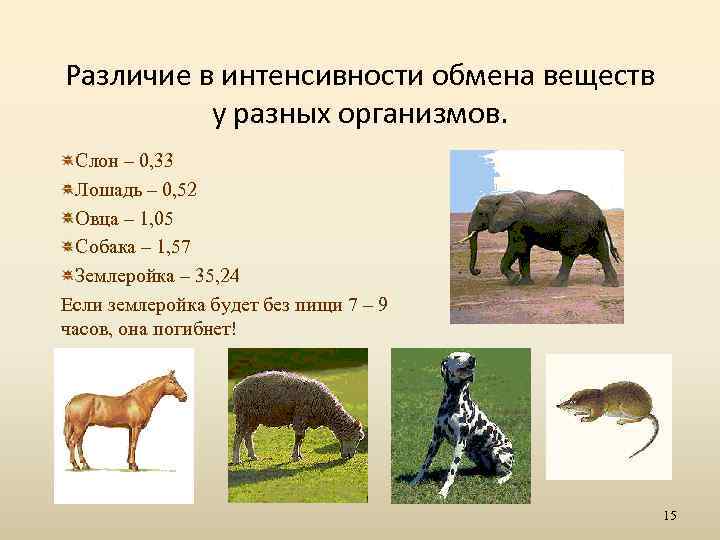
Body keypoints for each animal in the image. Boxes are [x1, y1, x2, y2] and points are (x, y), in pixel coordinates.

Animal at [457, 190, 621, 287]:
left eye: (480, 213)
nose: (478, 270)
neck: (502, 196)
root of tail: (601, 215)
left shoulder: (518, 223)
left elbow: (517, 248)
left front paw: (515, 279)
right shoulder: (518, 225)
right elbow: (523, 251)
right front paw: (525, 283)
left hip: (577, 228)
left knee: (568, 253)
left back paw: (556, 284)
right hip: (594, 230)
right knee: (602, 253)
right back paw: (610, 284)